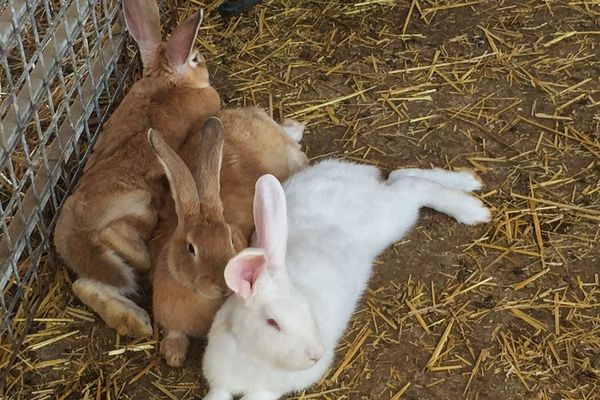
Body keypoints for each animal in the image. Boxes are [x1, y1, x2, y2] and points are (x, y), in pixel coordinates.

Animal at [52, 0, 221, 340]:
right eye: (195, 58)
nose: (206, 65)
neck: (169, 82)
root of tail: (74, 233)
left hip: (101, 263)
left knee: (85, 284)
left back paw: (131, 320)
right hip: (140, 206)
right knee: (122, 246)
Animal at [202, 159, 492, 400]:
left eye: (306, 307)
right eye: (272, 322)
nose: (317, 355)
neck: (250, 353)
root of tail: (357, 175)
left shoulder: (267, 390)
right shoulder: (221, 384)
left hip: (393, 216)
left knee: (412, 186)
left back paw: (472, 208)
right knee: (399, 176)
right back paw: (468, 182)